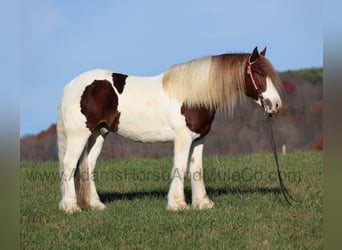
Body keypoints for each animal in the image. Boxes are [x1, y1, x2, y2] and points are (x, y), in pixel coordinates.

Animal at [58, 46, 282, 213]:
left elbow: (196, 169)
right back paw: (71, 207)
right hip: (79, 135)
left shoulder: (198, 138)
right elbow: (180, 167)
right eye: (260, 72)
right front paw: (178, 205)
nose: (276, 105)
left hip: (99, 134)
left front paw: (203, 203)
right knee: (69, 165)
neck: (194, 94)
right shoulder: (183, 138)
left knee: (88, 166)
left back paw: (96, 205)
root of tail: (70, 86)